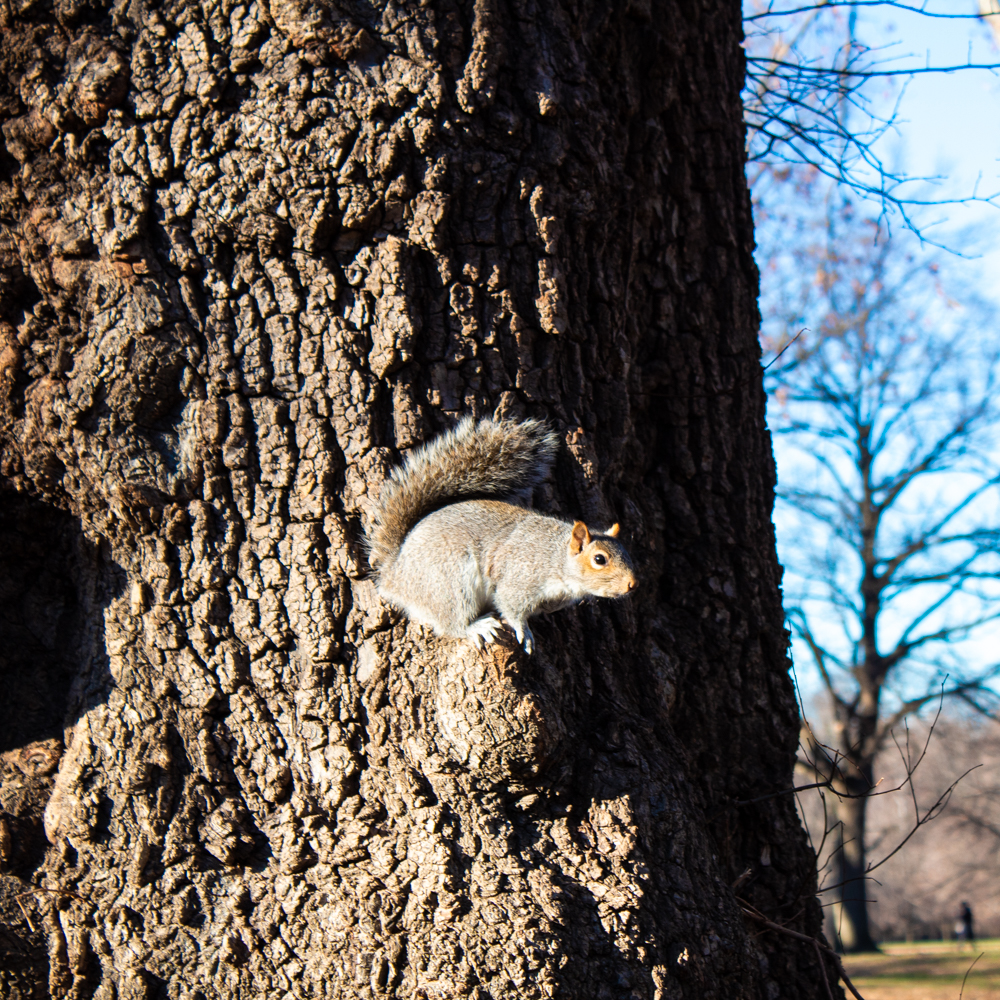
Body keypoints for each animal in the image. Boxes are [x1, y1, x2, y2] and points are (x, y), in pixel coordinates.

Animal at [366, 417, 636, 654]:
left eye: (627, 553)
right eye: (599, 559)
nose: (632, 584)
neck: (555, 558)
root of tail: (394, 575)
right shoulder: (520, 578)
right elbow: (510, 606)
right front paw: (524, 632)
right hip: (449, 583)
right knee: (451, 623)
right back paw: (477, 627)